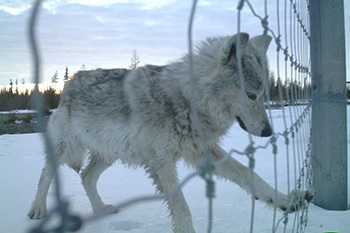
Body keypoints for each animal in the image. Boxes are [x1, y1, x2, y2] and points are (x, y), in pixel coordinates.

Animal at [28, 33, 312, 233]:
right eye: (251, 95)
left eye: (265, 95)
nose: (268, 131)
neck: (188, 101)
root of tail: (69, 83)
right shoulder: (161, 162)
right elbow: (181, 206)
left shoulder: (203, 153)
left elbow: (248, 175)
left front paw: (285, 201)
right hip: (67, 149)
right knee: (45, 174)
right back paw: (38, 210)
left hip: (109, 153)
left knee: (86, 176)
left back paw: (100, 209)